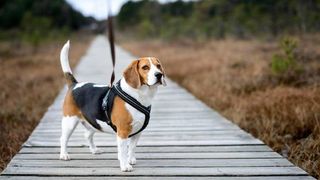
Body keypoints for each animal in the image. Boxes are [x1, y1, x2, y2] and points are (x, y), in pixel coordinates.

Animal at [58, 40, 166, 172]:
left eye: (158, 66)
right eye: (145, 67)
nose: (159, 75)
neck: (139, 95)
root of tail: (75, 84)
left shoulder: (138, 132)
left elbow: (131, 148)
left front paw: (130, 159)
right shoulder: (123, 132)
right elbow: (123, 150)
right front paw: (125, 165)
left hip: (93, 122)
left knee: (87, 135)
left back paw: (94, 150)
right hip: (69, 121)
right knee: (63, 138)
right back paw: (64, 155)